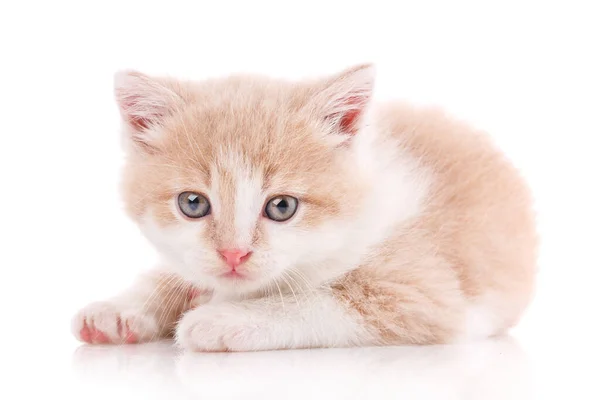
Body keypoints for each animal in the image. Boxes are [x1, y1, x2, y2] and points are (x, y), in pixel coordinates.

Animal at [71, 65, 540, 350]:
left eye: (282, 207)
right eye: (193, 203)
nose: (234, 254)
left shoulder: (424, 290)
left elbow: (323, 302)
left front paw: (221, 319)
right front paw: (120, 308)